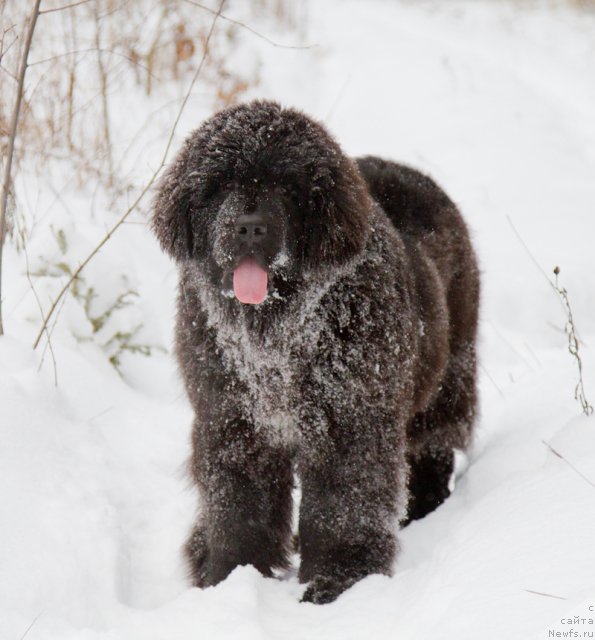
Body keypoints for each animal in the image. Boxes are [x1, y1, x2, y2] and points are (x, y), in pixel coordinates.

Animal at [151, 101, 482, 604]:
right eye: (220, 184)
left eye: (287, 187)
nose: (250, 227)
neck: (276, 339)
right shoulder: (233, 420)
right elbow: (236, 506)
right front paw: (229, 574)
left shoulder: (348, 422)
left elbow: (340, 507)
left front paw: (337, 581)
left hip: (449, 373)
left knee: (433, 442)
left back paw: (424, 508)